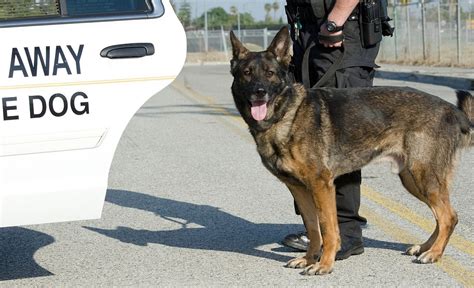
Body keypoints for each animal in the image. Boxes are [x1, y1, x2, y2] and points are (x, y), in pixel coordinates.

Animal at [229, 26, 470, 274]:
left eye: (270, 73)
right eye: (247, 73)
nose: (259, 92)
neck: (287, 114)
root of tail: (451, 109)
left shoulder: (321, 185)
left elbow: (327, 227)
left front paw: (324, 264)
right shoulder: (299, 189)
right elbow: (313, 228)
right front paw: (309, 259)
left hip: (423, 177)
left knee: (448, 217)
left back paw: (434, 253)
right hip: (413, 180)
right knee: (442, 216)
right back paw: (425, 247)